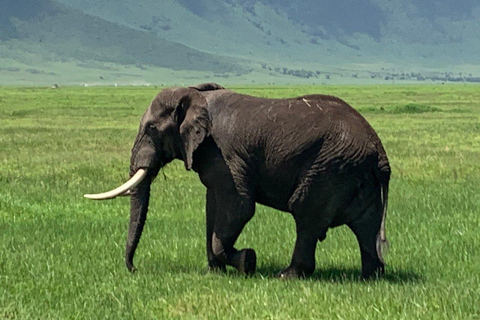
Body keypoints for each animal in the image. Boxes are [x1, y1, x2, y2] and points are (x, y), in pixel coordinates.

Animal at [85, 82, 390, 280]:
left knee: (306, 214)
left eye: (150, 128)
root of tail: (379, 152)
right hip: (354, 172)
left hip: (330, 167)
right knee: (366, 225)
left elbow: (239, 207)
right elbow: (212, 207)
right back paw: (370, 277)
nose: (134, 270)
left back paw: (287, 275)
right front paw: (214, 272)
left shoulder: (224, 154)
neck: (196, 94)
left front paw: (248, 262)